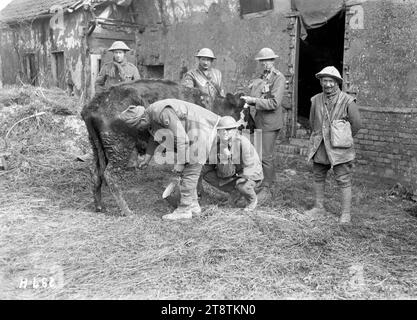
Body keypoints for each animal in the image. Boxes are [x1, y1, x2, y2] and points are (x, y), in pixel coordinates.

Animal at [80, 79, 247, 216]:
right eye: (239, 111)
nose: (241, 128)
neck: (213, 105)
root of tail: (92, 106)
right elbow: (196, 173)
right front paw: (198, 194)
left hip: (98, 148)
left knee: (95, 172)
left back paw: (100, 206)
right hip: (119, 147)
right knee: (110, 175)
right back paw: (126, 211)